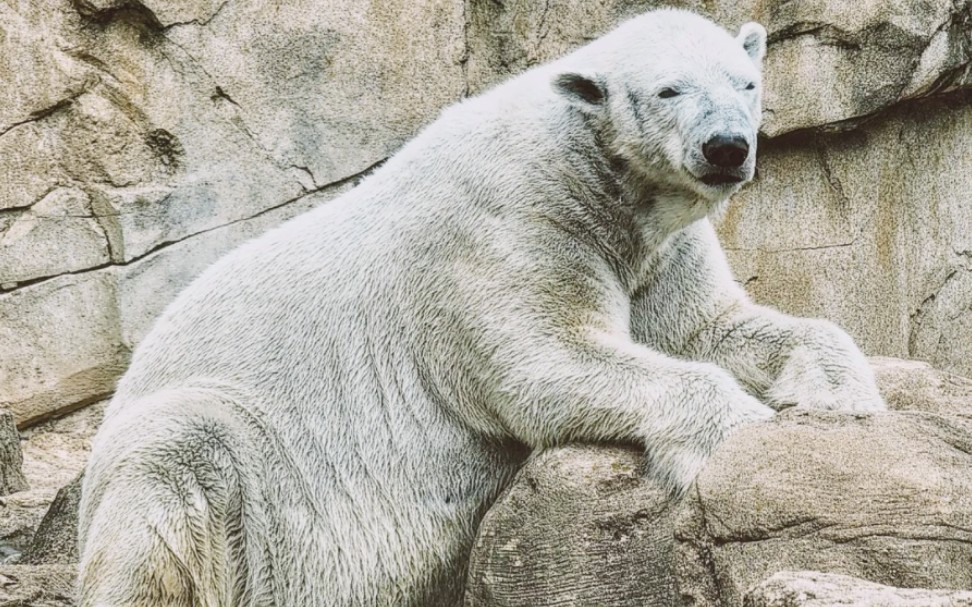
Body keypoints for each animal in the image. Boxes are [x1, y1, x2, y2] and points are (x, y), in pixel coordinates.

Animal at [76, 8, 884, 607]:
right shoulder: (513, 224)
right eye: (668, 91)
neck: (592, 171)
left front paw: (844, 393)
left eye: (746, 81)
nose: (726, 148)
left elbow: (709, 326)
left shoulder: (656, 249)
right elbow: (546, 361)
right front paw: (738, 428)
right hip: (249, 472)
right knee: (171, 472)